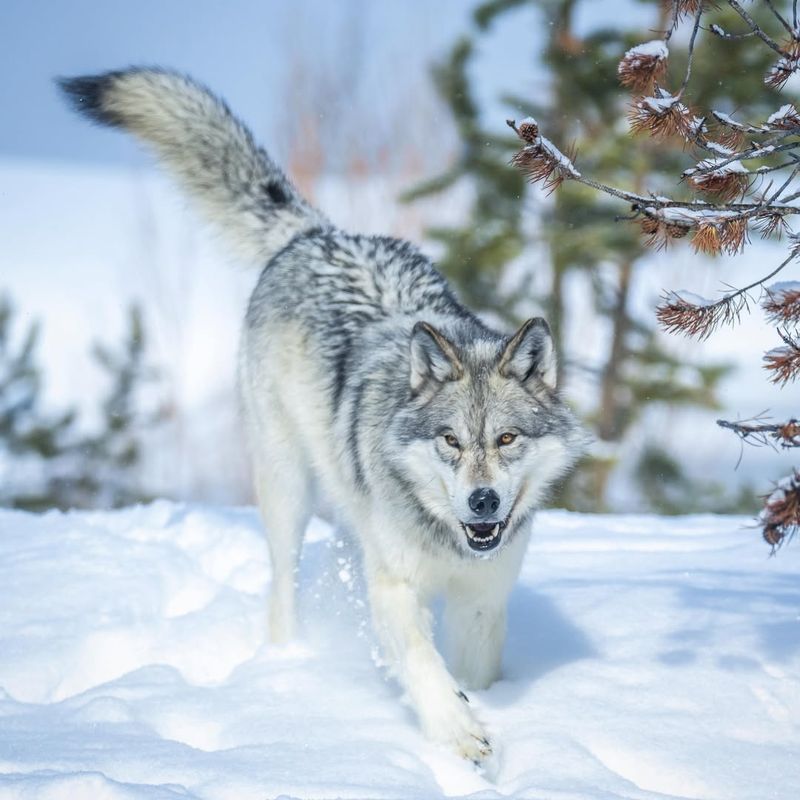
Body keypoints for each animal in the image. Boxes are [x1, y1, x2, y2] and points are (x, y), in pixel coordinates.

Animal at [61, 69, 580, 764]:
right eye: (449, 440)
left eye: (506, 438)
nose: (483, 503)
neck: (447, 538)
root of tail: (316, 235)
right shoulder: (395, 588)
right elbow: (424, 665)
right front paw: (459, 733)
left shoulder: (482, 602)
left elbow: (474, 671)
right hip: (286, 490)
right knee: (281, 588)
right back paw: (286, 666)